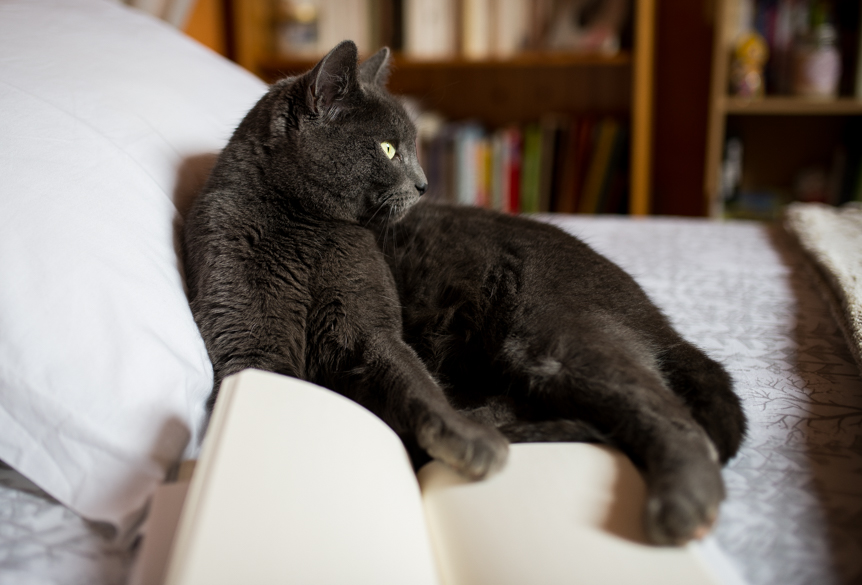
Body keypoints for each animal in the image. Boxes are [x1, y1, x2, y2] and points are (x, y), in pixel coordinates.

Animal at [182, 40, 506, 480]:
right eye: (388, 149)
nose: (424, 184)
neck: (305, 226)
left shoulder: (368, 324)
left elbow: (413, 377)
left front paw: (465, 436)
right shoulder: (247, 327)